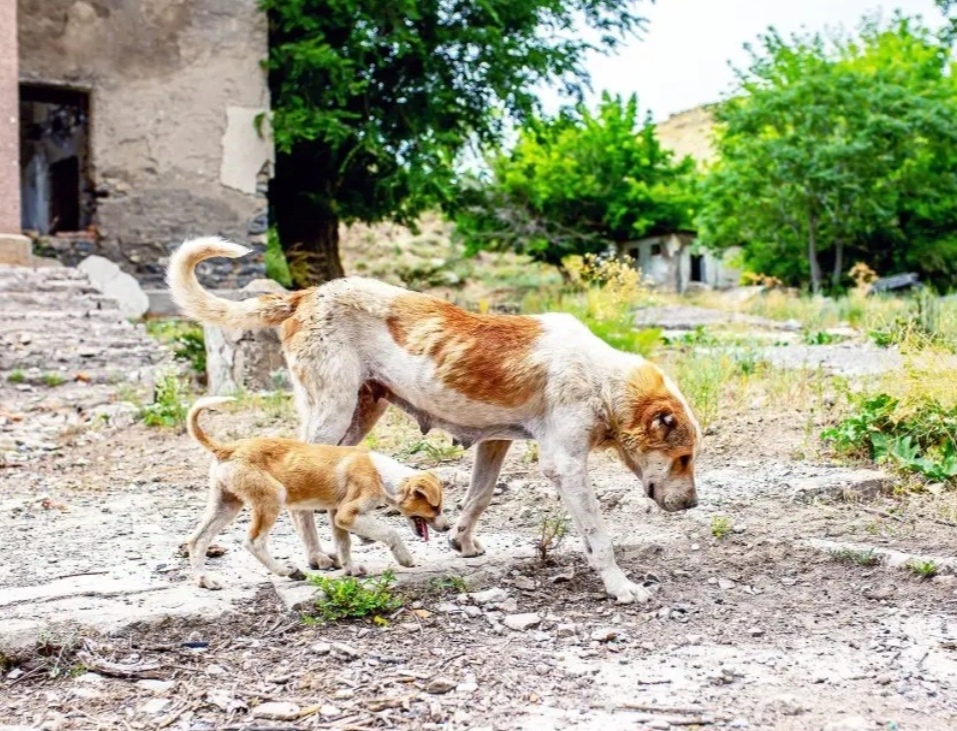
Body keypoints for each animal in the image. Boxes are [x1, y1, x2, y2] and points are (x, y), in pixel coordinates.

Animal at [185, 398, 450, 592]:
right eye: (434, 508)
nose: (447, 528)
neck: (381, 473)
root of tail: (228, 448)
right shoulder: (347, 514)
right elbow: (390, 531)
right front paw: (404, 557)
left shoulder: (336, 515)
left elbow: (344, 544)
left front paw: (351, 570)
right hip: (272, 498)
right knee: (254, 542)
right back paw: (287, 571)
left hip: (226, 504)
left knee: (198, 540)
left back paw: (205, 581)